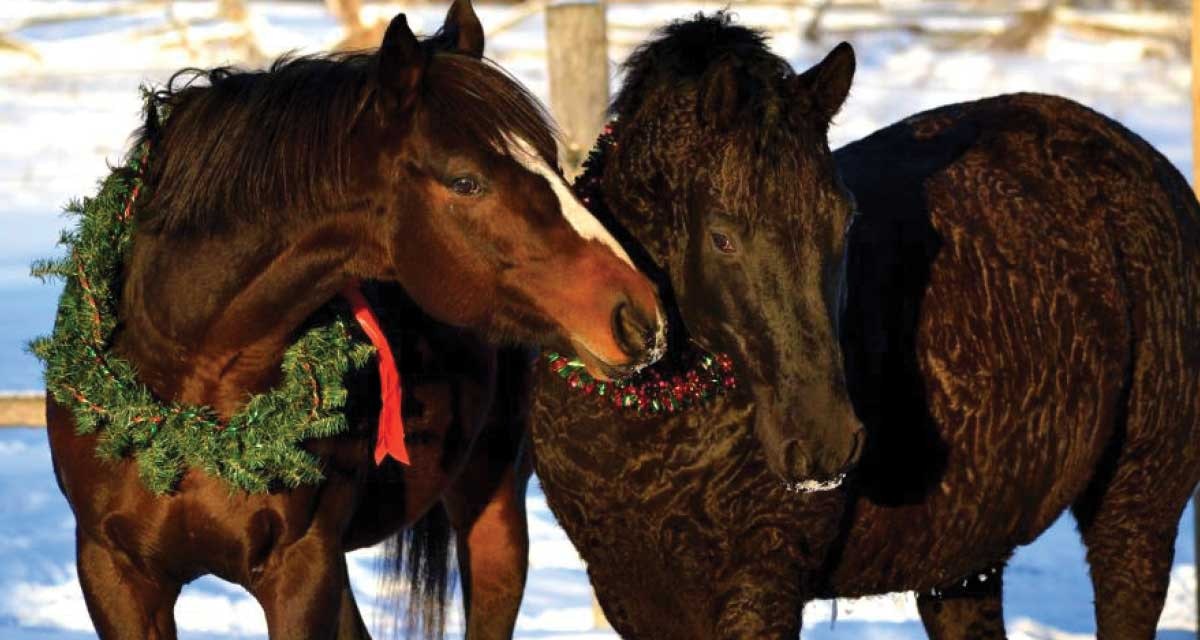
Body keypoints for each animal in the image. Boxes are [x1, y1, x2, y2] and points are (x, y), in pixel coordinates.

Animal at [45, 2, 666, 638]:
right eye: (466, 181)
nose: (637, 314)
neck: (186, 399)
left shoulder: (301, 571)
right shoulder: (115, 575)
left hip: (490, 505)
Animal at [530, 14, 1200, 640]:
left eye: (844, 221)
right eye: (722, 236)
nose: (824, 440)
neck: (651, 423)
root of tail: (1146, 165)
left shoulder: (759, 581)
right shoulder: (631, 588)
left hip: (1135, 510)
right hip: (964, 564)